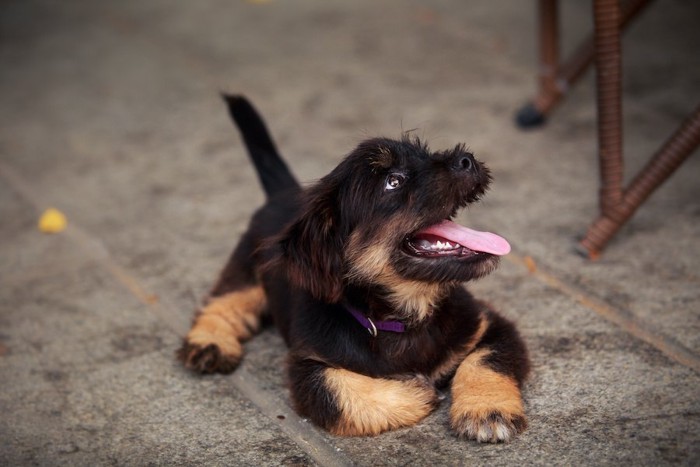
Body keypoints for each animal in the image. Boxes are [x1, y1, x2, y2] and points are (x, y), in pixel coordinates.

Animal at [178, 97, 528, 444]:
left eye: (426, 154)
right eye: (393, 182)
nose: (466, 159)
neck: (404, 318)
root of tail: (282, 194)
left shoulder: (490, 324)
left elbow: (487, 361)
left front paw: (487, 409)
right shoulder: (306, 366)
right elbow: (338, 392)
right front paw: (417, 392)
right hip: (247, 268)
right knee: (224, 299)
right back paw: (209, 341)